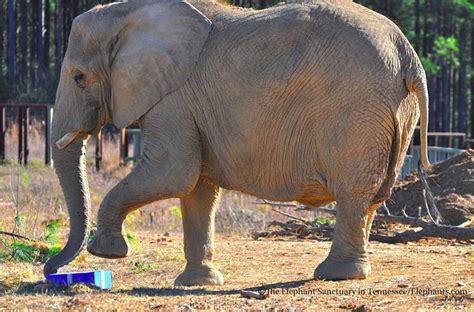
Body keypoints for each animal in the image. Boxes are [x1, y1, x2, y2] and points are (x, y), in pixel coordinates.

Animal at [46, 0, 432, 286]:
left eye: (79, 78)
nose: (54, 270)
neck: (129, 13)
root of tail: (409, 55)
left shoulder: (174, 99)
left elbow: (173, 173)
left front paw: (106, 252)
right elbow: (197, 188)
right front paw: (199, 283)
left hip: (357, 110)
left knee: (353, 191)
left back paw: (335, 275)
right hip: (391, 112)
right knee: (373, 196)